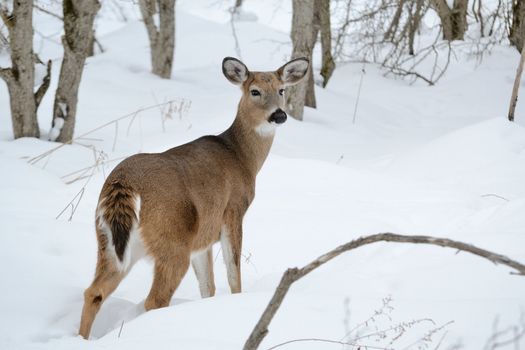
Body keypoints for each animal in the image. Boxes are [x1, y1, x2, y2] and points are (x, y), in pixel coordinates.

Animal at [77, 56, 308, 340]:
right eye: (255, 91)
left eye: (281, 90)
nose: (279, 115)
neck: (241, 157)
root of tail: (122, 183)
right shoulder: (232, 210)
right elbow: (233, 273)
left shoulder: (202, 238)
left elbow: (208, 286)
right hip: (172, 240)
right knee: (154, 300)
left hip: (110, 242)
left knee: (94, 292)